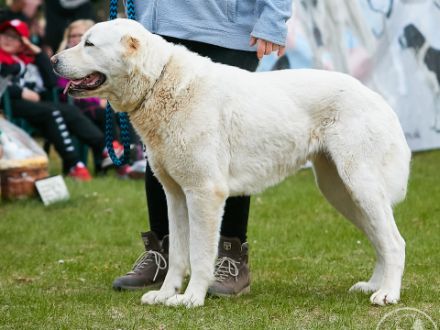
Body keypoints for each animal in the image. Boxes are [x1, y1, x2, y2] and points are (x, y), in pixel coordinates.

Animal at [52, 17, 412, 306]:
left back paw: (387, 294)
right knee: (380, 239)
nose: (53, 60)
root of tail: (377, 97)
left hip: (360, 185)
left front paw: (191, 299)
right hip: (342, 192)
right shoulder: (175, 195)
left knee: (395, 242)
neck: (160, 83)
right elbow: (178, 253)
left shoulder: (204, 193)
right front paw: (166, 294)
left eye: (88, 44)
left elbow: (199, 254)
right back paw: (373, 286)